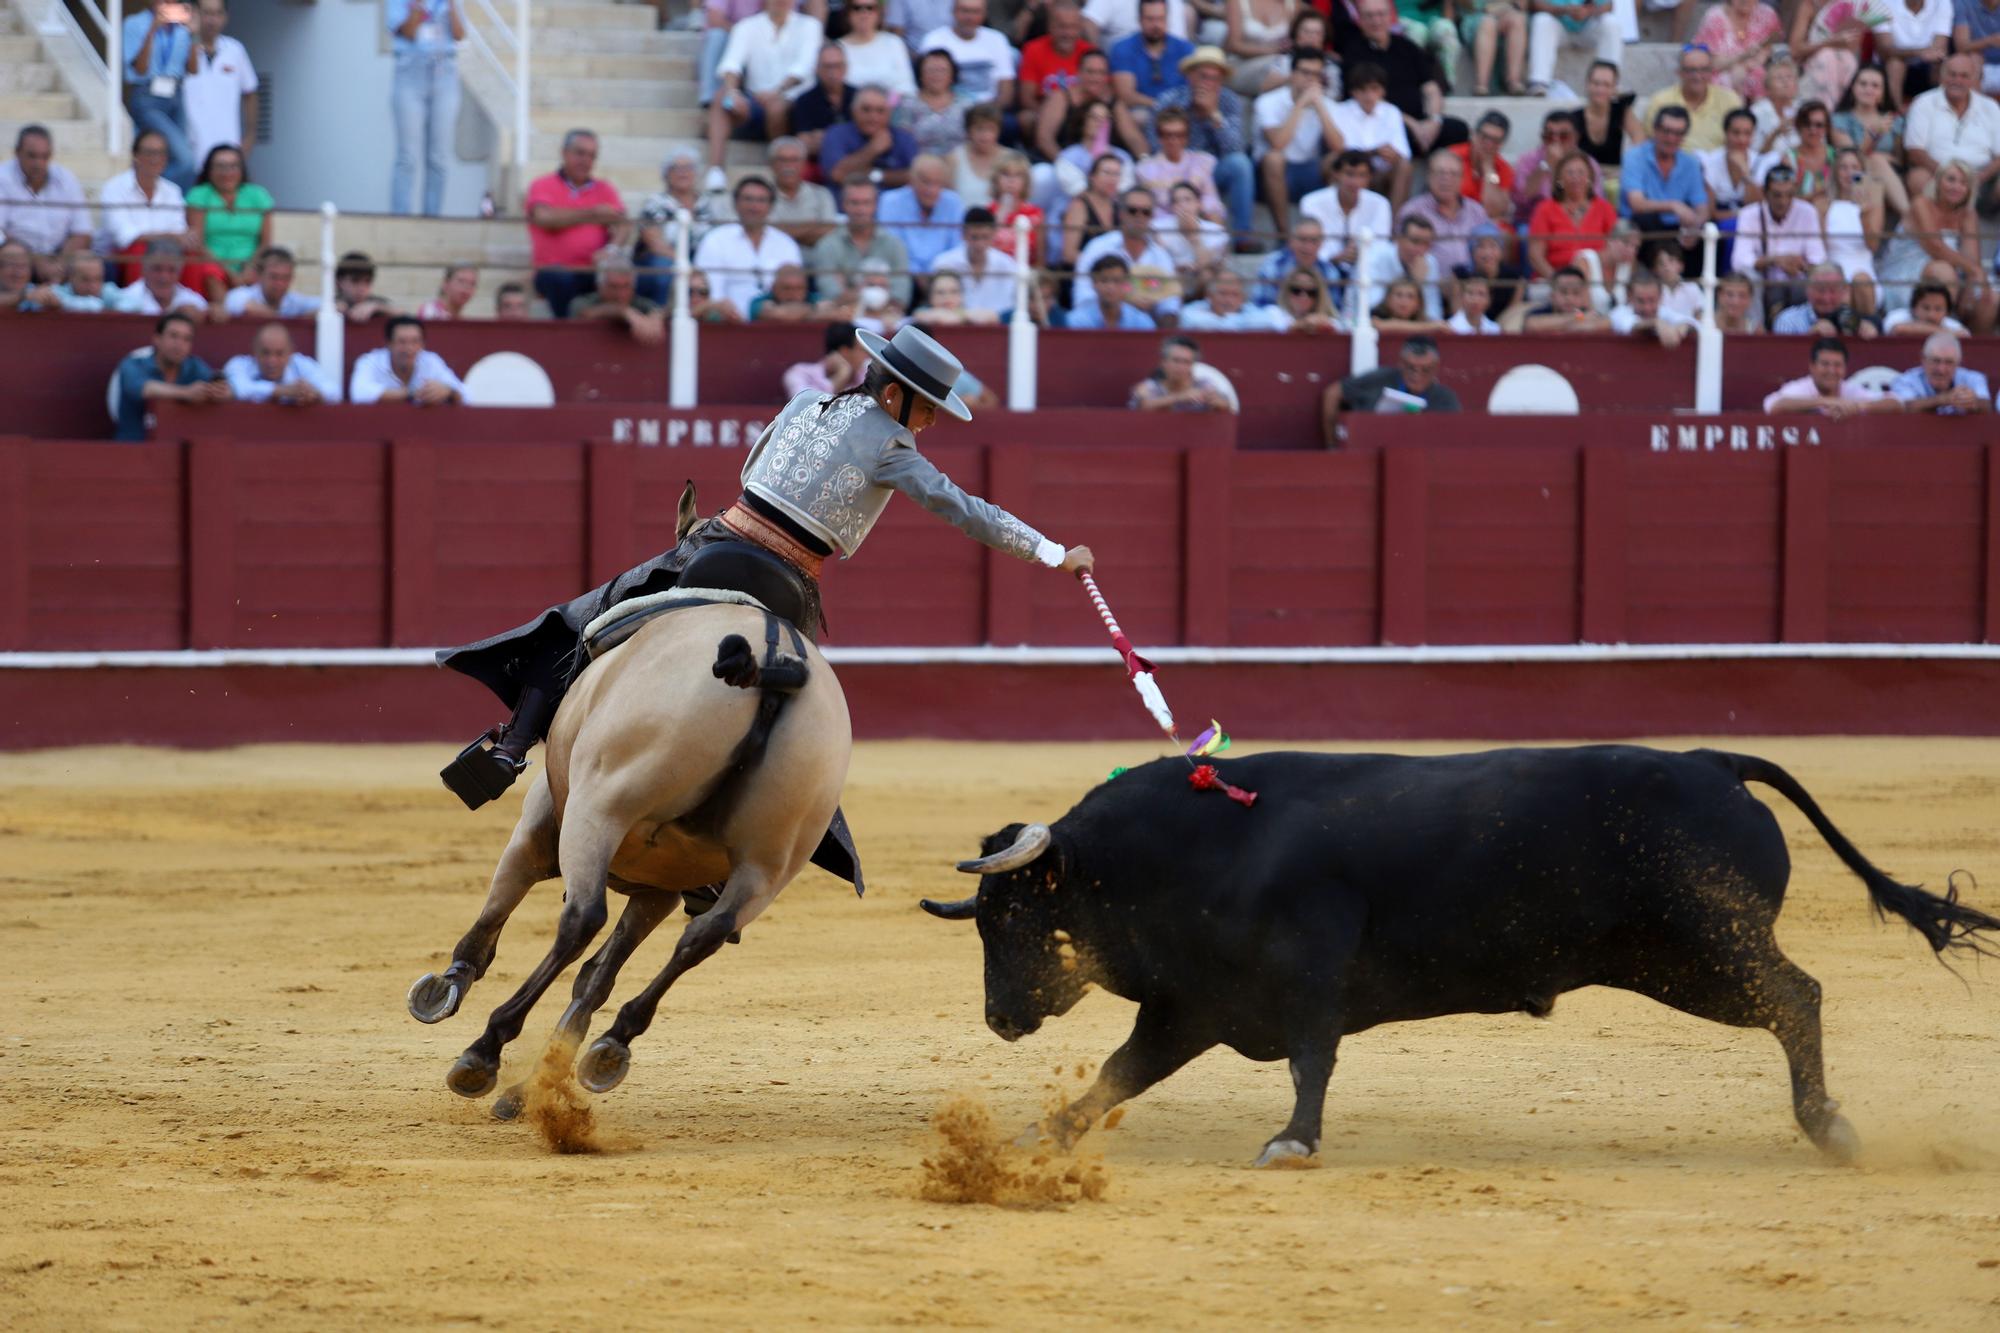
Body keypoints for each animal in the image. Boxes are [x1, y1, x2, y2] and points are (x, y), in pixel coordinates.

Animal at [920, 740, 2000, 1168]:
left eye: (1007, 918)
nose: (999, 1018)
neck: (1190, 849)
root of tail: (1706, 759)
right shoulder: (1194, 1006)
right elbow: (1118, 1073)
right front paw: (1040, 1135)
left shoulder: (1306, 974)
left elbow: (1312, 1059)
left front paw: (1292, 1143)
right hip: (1670, 963)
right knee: (1790, 999)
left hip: (1706, 948)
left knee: (1796, 995)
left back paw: (1831, 1127)